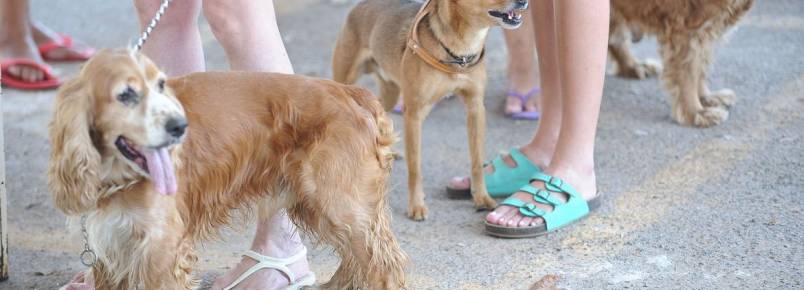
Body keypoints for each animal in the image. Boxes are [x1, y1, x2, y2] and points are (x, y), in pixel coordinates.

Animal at [47, 48, 406, 288]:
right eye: (125, 94)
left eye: (161, 85)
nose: (180, 126)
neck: (117, 176)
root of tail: (352, 92)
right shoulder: (112, 247)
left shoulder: (161, 247)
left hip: (340, 205)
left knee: (383, 266)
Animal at [332, 0, 528, 220]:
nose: (524, 2)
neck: (461, 49)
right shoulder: (414, 114)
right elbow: (415, 167)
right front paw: (416, 205)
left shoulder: (475, 107)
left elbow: (477, 161)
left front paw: (481, 197)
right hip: (346, 80)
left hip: (390, 93)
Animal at [608, 0, 752, 127]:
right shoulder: (686, 27)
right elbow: (689, 74)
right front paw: (696, 112)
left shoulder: (705, 29)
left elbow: (700, 69)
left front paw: (707, 98)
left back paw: (633, 66)